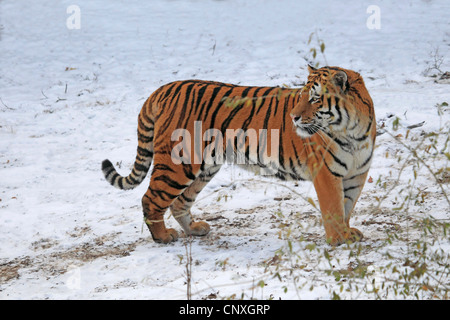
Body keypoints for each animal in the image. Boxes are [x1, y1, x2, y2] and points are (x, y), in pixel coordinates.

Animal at [101, 65, 376, 245]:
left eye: (316, 99)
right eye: (301, 97)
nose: (294, 117)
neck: (352, 130)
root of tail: (163, 89)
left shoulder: (357, 174)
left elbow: (346, 206)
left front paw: (348, 233)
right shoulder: (326, 173)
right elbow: (333, 207)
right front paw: (338, 240)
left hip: (204, 167)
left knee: (180, 202)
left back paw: (195, 229)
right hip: (178, 163)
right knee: (151, 199)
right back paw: (163, 237)